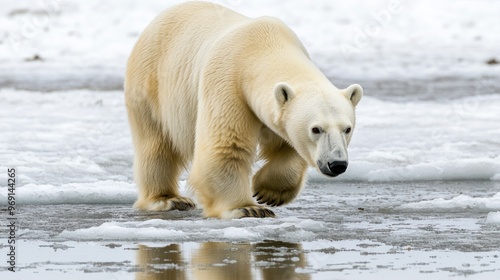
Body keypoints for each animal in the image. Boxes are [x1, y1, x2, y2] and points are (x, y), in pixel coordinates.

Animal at [123, 1, 362, 219]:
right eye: (316, 129)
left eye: (347, 129)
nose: (337, 164)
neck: (263, 46)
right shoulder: (228, 82)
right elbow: (228, 146)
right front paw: (248, 208)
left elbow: (288, 146)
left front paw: (268, 192)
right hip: (151, 85)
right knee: (156, 144)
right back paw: (168, 199)